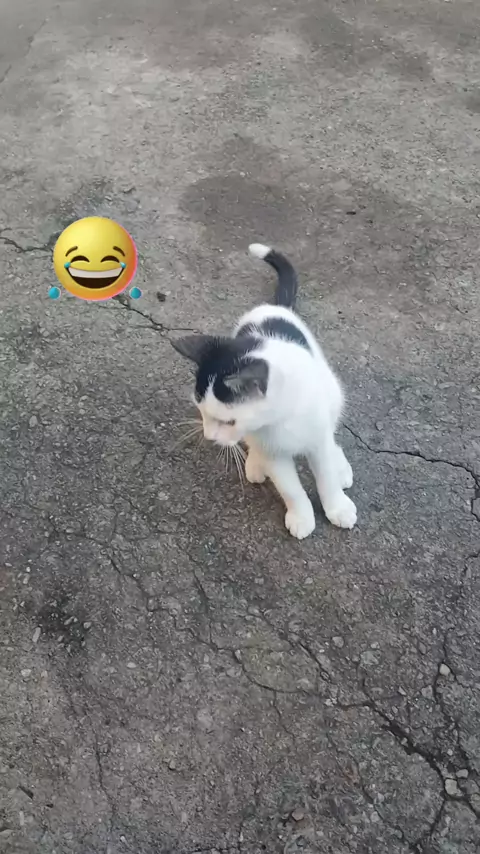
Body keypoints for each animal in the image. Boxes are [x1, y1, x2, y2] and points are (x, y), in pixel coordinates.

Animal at [171, 243, 357, 540]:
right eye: (201, 412)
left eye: (228, 421)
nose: (210, 437)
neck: (280, 418)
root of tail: (272, 307)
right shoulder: (274, 453)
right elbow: (290, 488)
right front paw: (301, 516)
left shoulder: (317, 438)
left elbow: (325, 474)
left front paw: (337, 507)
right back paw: (256, 464)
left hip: (332, 391)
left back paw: (341, 467)